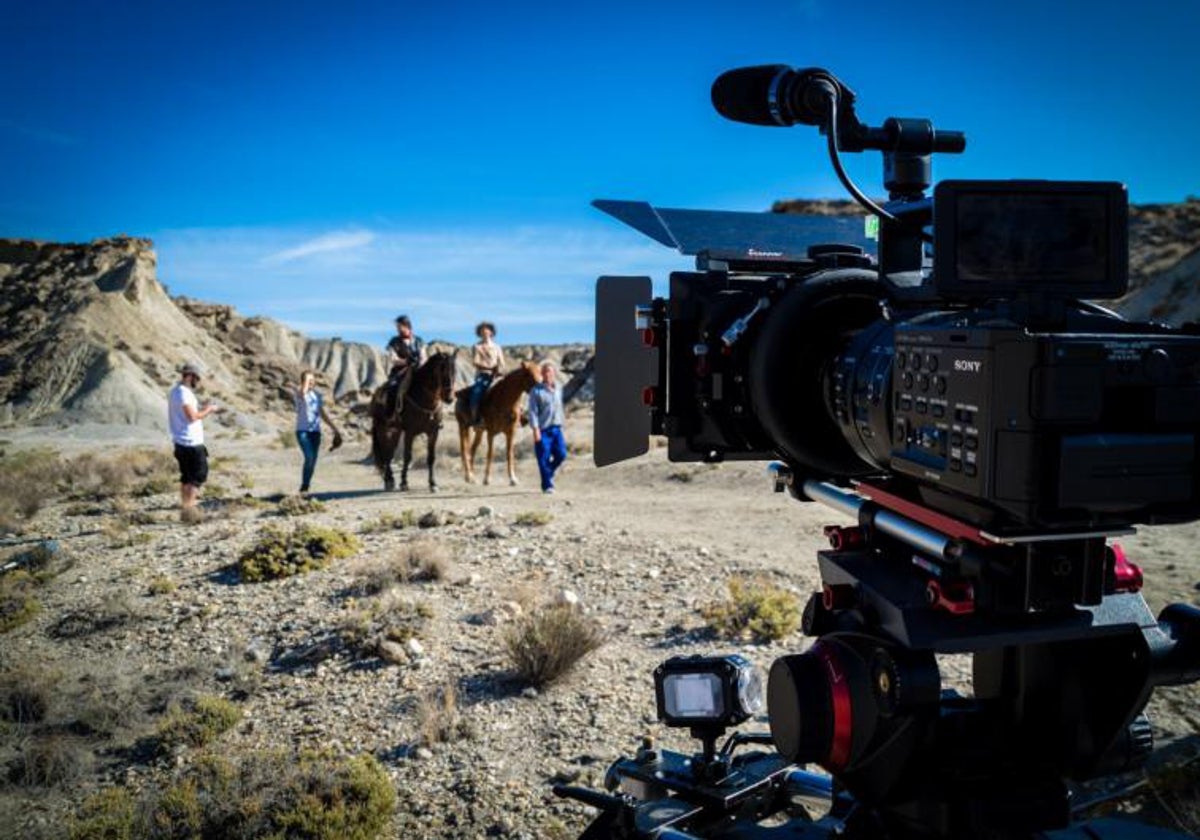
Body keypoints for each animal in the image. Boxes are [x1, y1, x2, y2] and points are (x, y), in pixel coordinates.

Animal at [369, 350, 453, 492]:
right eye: (442, 370)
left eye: (454, 371)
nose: (449, 398)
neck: (426, 399)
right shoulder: (410, 432)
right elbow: (407, 457)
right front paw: (404, 483)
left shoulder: (433, 432)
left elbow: (431, 458)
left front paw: (433, 484)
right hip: (382, 429)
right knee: (386, 453)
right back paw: (389, 481)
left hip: (396, 431)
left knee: (390, 452)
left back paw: (390, 480)